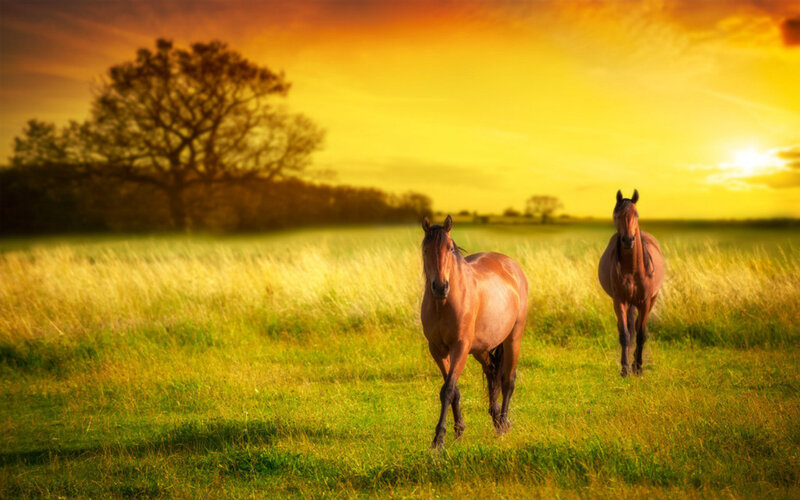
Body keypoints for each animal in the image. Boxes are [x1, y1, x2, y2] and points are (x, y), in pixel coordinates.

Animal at [420, 215, 529, 448]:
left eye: (450, 248)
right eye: (425, 249)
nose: (440, 287)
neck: (443, 304)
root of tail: (512, 266)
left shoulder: (460, 347)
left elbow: (448, 390)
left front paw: (438, 440)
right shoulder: (437, 350)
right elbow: (453, 390)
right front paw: (458, 430)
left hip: (513, 338)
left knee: (508, 381)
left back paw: (503, 424)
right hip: (481, 348)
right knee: (492, 372)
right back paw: (497, 420)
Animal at [598, 190, 665, 377]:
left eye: (636, 214)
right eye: (617, 215)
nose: (628, 240)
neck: (632, 270)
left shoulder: (646, 301)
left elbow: (641, 334)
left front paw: (639, 367)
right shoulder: (620, 300)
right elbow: (625, 334)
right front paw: (625, 369)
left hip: (650, 300)